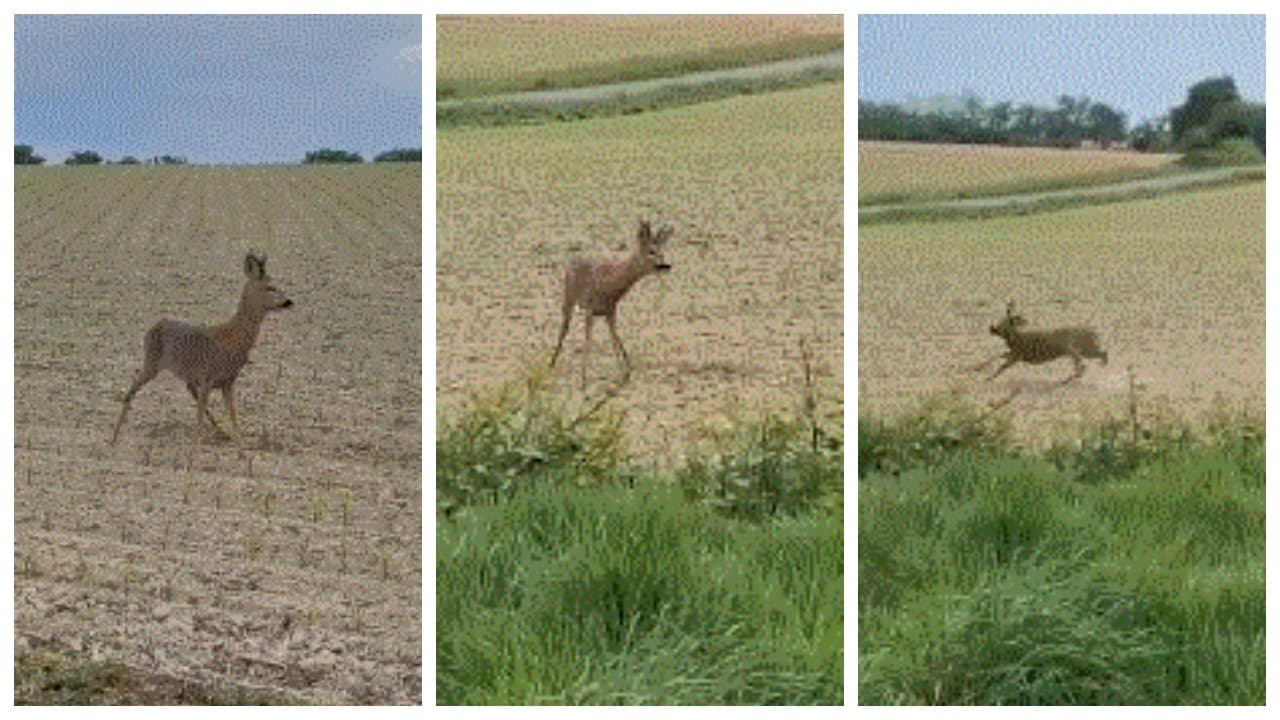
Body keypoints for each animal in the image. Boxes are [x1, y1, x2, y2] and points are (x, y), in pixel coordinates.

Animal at [110, 252, 293, 445]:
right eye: (269, 287)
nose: (288, 301)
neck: (234, 339)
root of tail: (154, 326)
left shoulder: (228, 380)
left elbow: (233, 414)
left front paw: (239, 441)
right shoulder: (207, 377)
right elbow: (200, 420)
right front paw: (198, 447)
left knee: (188, 391)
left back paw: (219, 430)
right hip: (152, 362)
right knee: (133, 386)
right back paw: (115, 437)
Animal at [549, 219, 673, 388]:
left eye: (662, 252)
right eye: (651, 251)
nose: (665, 265)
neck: (611, 286)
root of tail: (572, 261)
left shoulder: (611, 310)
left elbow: (614, 337)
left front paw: (624, 371)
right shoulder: (590, 308)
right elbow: (589, 339)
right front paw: (584, 378)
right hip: (568, 297)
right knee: (563, 329)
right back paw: (551, 363)